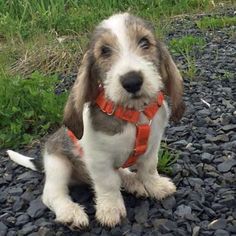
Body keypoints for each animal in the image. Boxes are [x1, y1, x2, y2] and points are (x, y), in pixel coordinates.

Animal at [6, 12, 184, 229]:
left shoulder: (152, 146)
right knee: (52, 194)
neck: (132, 114)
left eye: (144, 42)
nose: (132, 81)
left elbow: (149, 168)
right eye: (104, 51)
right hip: (58, 164)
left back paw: (132, 181)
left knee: (121, 172)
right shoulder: (99, 159)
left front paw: (155, 186)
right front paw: (110, 209)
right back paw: (70, 212)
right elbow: (108, 183)